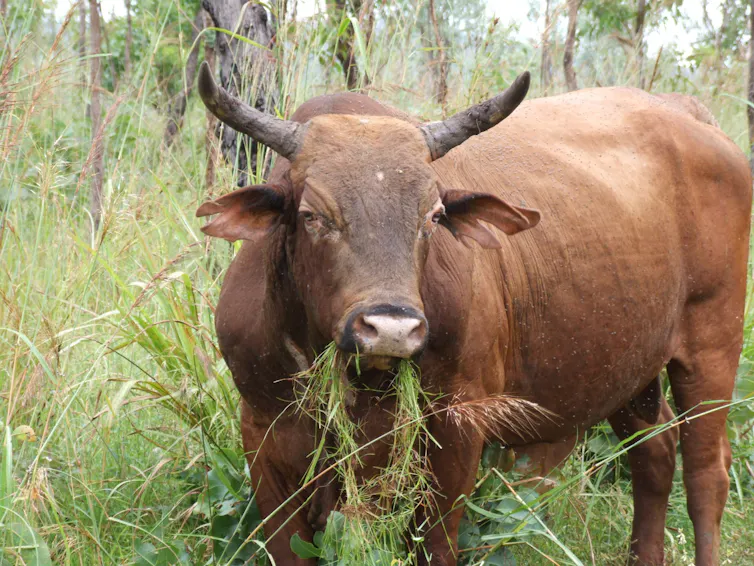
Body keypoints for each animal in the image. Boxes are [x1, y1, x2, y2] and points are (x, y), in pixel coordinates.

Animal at [194, 60, 751, 566]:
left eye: (433, 215)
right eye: (313, 215)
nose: (390, 329)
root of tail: (693, 118)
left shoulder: (455, 430)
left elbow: (437, 546)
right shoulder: (264, 436)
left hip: (712, 346)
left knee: (705, 474)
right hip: (626, 368)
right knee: (655, 452)